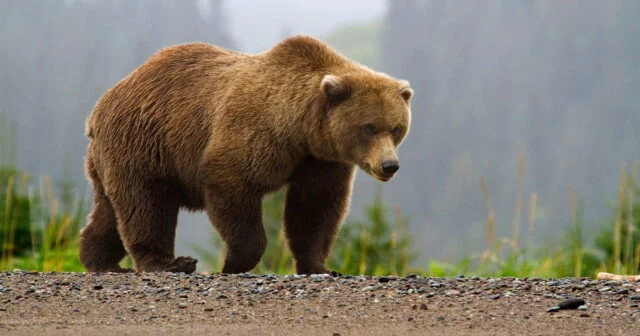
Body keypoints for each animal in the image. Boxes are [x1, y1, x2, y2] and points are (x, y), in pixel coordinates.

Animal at [79, 35, 416, 274]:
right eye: (369, 127)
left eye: (396, 128)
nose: (389, 165)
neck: (300, 129)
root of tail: (99, 107)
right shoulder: (255, 131)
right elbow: (232, 182)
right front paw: (234, 262)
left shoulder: (320, 160)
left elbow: (315, 207)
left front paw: (320, 266)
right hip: (144, 142)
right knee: (147, 204)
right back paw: (169, 263)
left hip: (114, 157)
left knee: (110, 209)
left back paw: (100, 260)